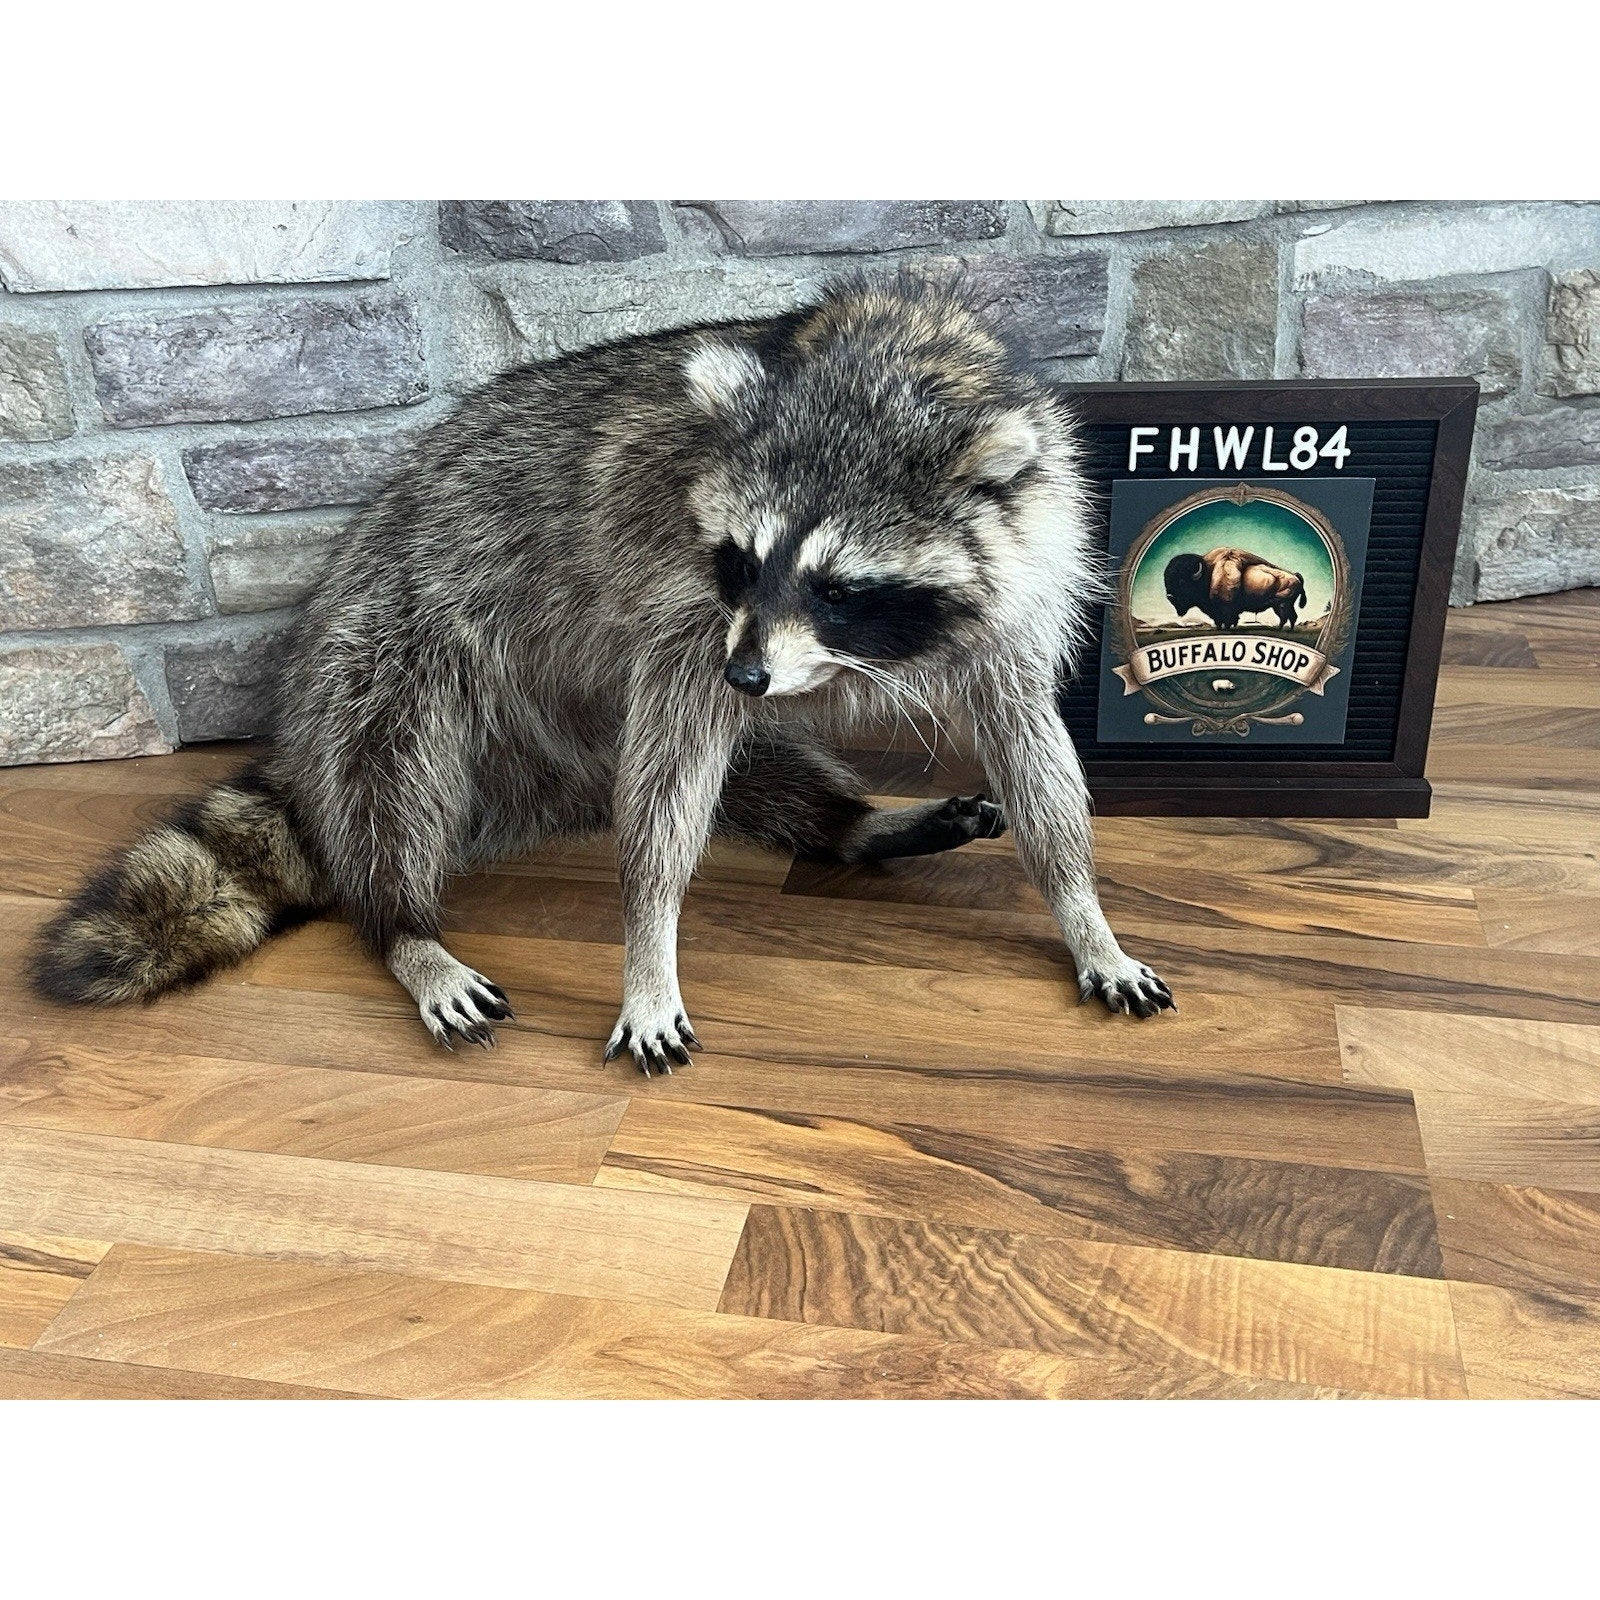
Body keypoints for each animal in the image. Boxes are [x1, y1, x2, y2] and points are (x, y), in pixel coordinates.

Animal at [30, 275, 1175, 1073]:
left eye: (840, 585)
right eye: (742, 559)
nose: (751, 674)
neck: (886, 362)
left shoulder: (1026, 573)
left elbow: (1030, 740)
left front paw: (1082, 907)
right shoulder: (685, 610)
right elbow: (666, 796)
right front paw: (648, 944)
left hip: (582, 730)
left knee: (752, 764)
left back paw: (851, 824)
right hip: (385, 635)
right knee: (387, 771)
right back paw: (404, 927)